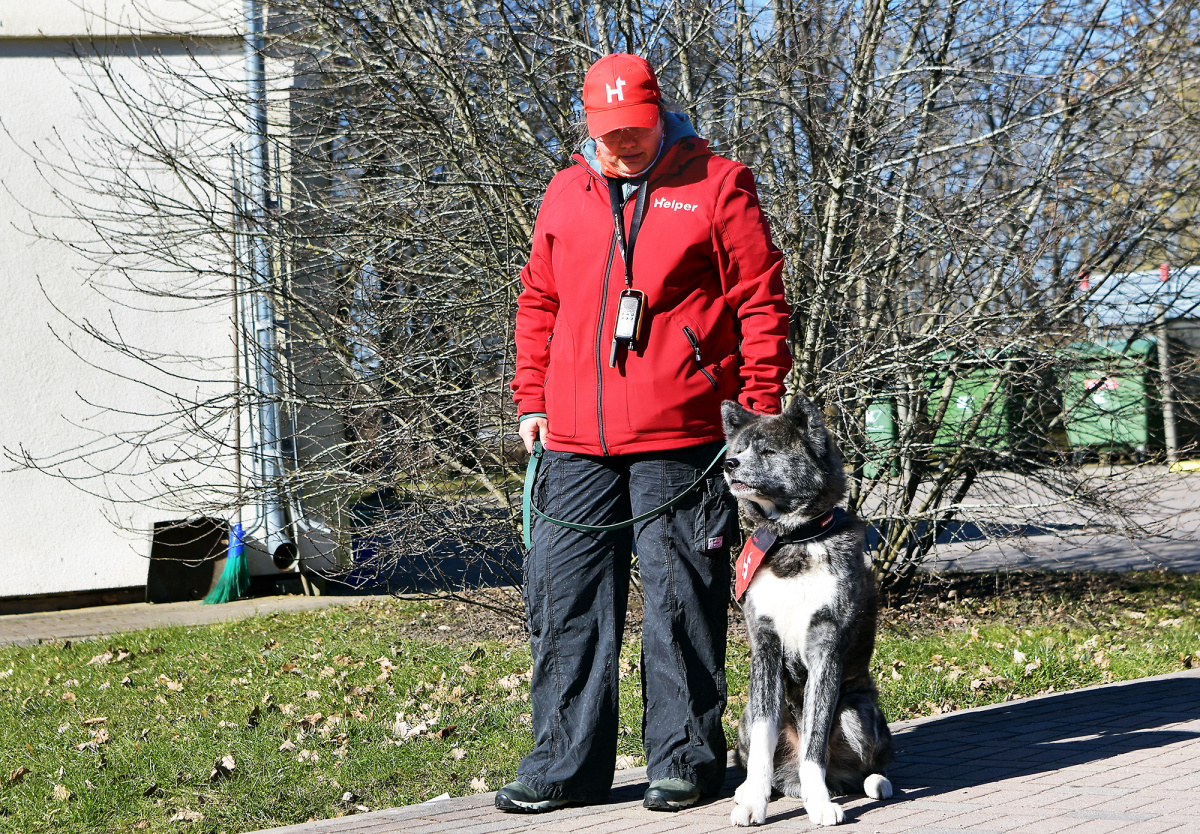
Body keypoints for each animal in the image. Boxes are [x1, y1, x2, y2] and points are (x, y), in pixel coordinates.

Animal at [722, 393, 893, 827]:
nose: (729, 465)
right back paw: (748, 788)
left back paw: (873, 783)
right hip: (745, 713)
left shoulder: (824, 651)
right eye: (738, 450)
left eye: (768, 451)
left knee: (866, 767)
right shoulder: (765, 650)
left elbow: (814, 746)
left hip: (857, 711)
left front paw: (819, 805)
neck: (793, 540)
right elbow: (762, 750)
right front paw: (754, 803)